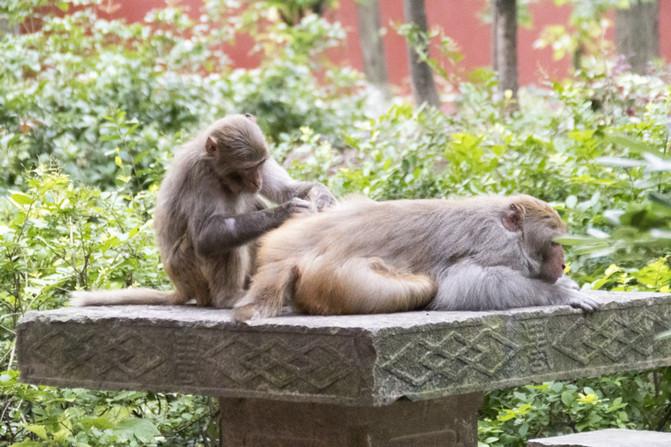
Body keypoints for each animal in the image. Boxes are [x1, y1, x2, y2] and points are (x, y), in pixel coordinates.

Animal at [69, 114, 336, 310]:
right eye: (247, 168)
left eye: (260, 165)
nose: (257, 180)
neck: (217, 169)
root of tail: (181, 288)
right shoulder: (201, 176)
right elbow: (207, 235)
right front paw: (286, 212)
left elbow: (289, 189)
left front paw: (323, 200)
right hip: (189, 271)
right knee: (217, 242)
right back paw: (228, 298)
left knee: (253, 205)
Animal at [234, 194, 600, 320]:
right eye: (554, 243)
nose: (562, 262)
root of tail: (282, 256)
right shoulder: (493, 245)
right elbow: (466, 285)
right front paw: (560, 293)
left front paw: (567, 283)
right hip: (334, 281)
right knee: (424, 286)